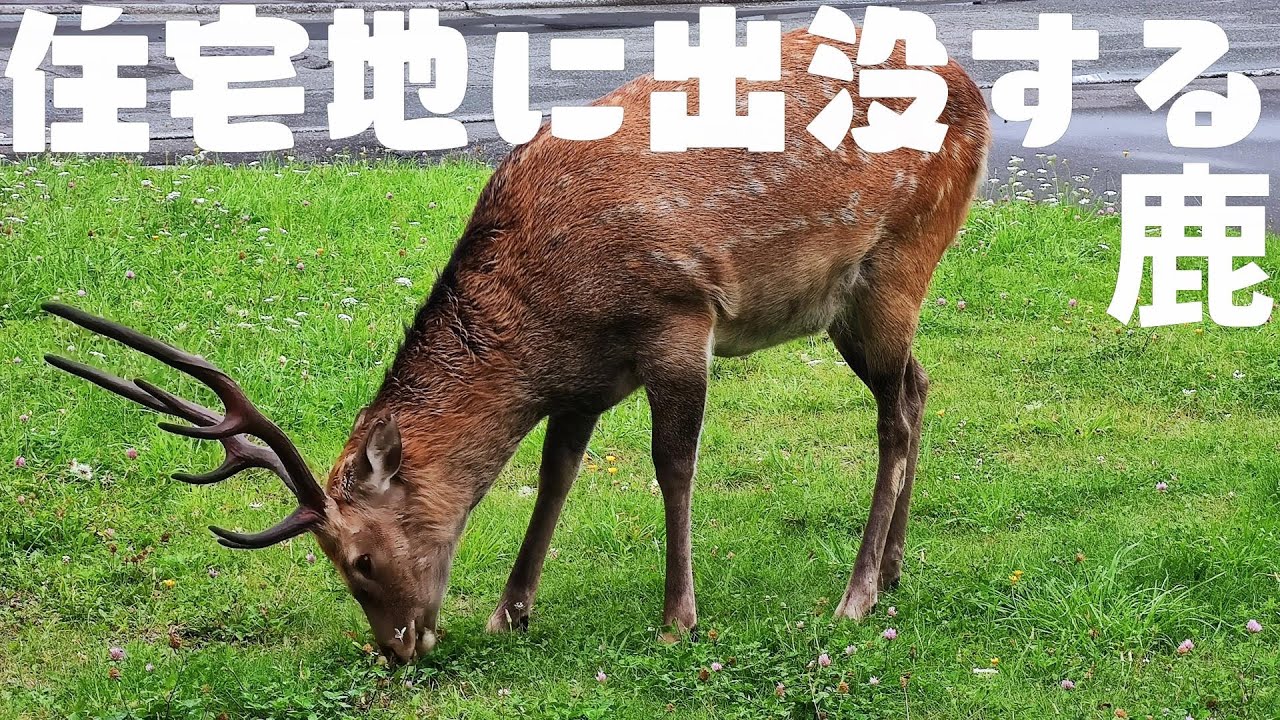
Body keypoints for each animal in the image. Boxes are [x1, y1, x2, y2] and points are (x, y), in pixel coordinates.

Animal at [44, 26, 990, 663]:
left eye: (357, 560)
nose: (399, 647)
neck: (547, 321)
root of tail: (973, 86)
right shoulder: (586, 376)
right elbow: (555, 473)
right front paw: (510, 610)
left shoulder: (678, 316)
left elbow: (672, 466)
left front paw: (677, 619)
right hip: (863, 301)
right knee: (920, 387)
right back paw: (894, 571)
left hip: (898, 258)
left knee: (895, 413)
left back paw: (855, 596)